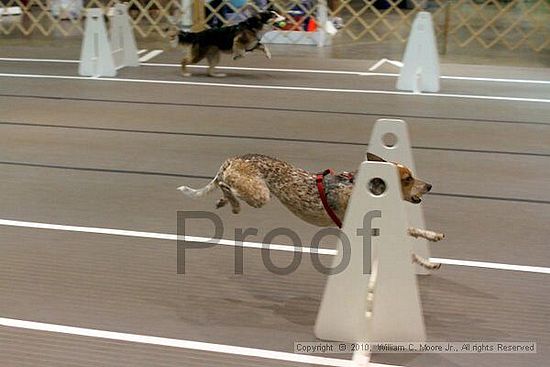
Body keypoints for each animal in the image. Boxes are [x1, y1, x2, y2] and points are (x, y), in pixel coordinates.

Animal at [179, 152, 446, 270]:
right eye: (407, 179)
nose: (430, 186)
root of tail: (234, 159)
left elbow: (412, 235)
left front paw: (430, 245)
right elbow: (409, 241)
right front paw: (427, 256)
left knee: (225, 187)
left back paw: (224, 202)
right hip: (260, 194)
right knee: (226, 185)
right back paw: (231, 202)